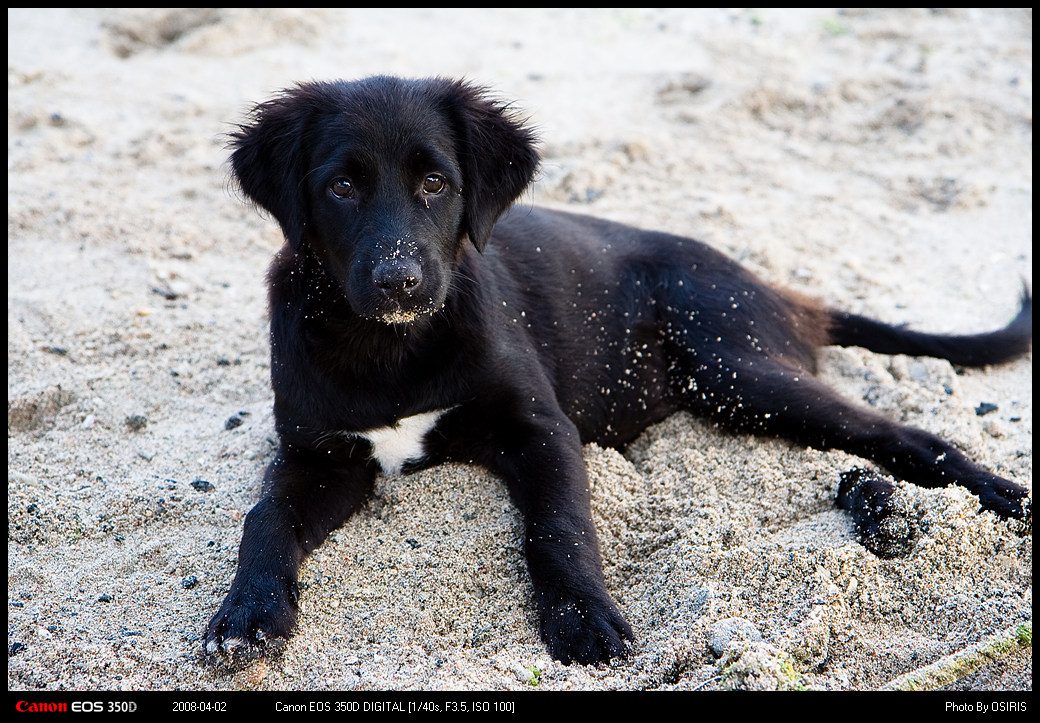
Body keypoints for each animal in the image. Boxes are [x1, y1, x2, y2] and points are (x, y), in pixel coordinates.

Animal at [202, 74, 1031, 665]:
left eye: (435, 182)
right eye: (341, 186)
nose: (401, 282)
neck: (393, 348)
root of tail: (772, 288)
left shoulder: (541, 428)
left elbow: (558, 525)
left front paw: (583, 618)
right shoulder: (320, 454)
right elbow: (264, 515)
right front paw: (245, 614)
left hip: (738, 370)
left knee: (907, 434)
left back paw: (996, 492)